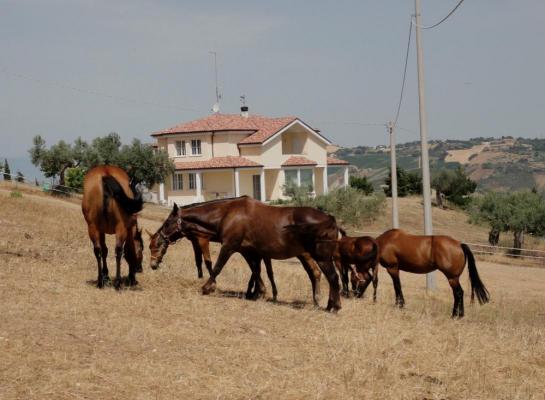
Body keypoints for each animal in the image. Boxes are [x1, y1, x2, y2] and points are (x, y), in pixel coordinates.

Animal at [147, 202, 320, 304]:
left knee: (316, 272)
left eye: (168, 222)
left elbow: (216, 266)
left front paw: (207, 287)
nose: (153, 265)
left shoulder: (228, 246)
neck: (227, 214)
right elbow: (255, 271)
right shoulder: (247, 250)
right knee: (313, 273)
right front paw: (259, 292)